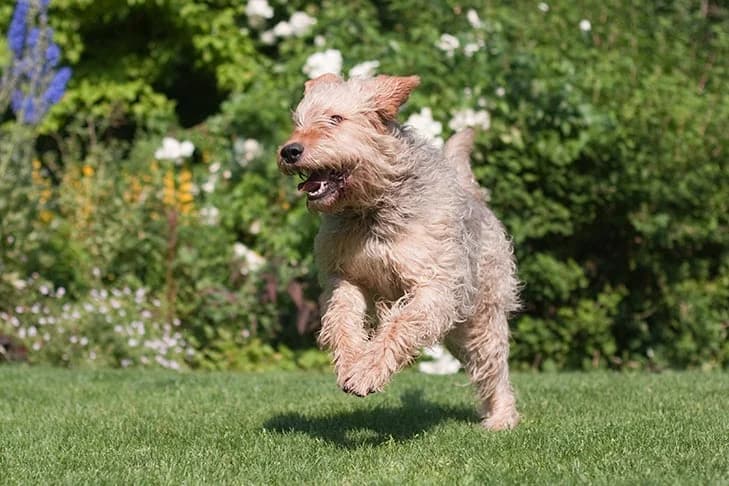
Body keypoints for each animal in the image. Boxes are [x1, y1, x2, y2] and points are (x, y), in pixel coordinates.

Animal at [276, 73, 520, 430]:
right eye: (299, 122)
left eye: (335, 118)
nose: (289, 151)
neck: (372, 210)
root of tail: (472, 194)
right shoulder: (346, 278)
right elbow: (341, 320)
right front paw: (350, 362)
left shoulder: (434, 286)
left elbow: (399, 324)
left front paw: (366, 373)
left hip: (481, 316)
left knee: (493, 365)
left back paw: (501, 417)